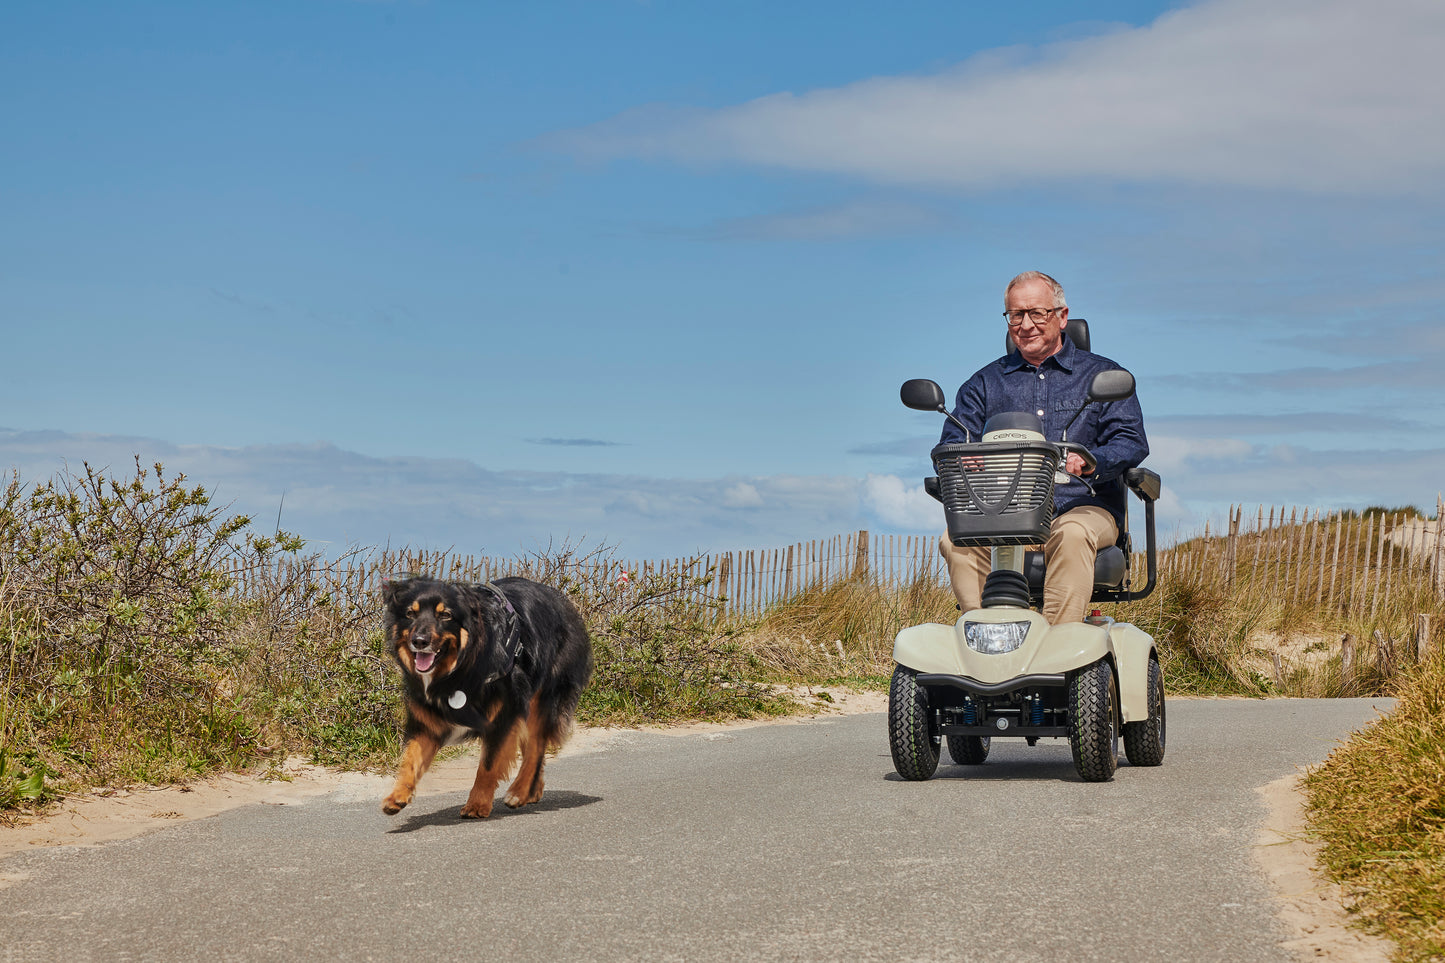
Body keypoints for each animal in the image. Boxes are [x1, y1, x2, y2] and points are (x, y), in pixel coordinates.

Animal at [381, 572, 595, 815]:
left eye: (445, 615)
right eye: (410, 614)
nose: (419, 641)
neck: (460, 667)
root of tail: (564, 601)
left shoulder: (505, 713)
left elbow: (489, 764)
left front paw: (477, 804)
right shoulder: (426, 721)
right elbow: (410, 759)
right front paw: (397, 796)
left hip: (543, 697)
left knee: (535, 748)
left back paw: (519, 791)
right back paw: (532, 791)